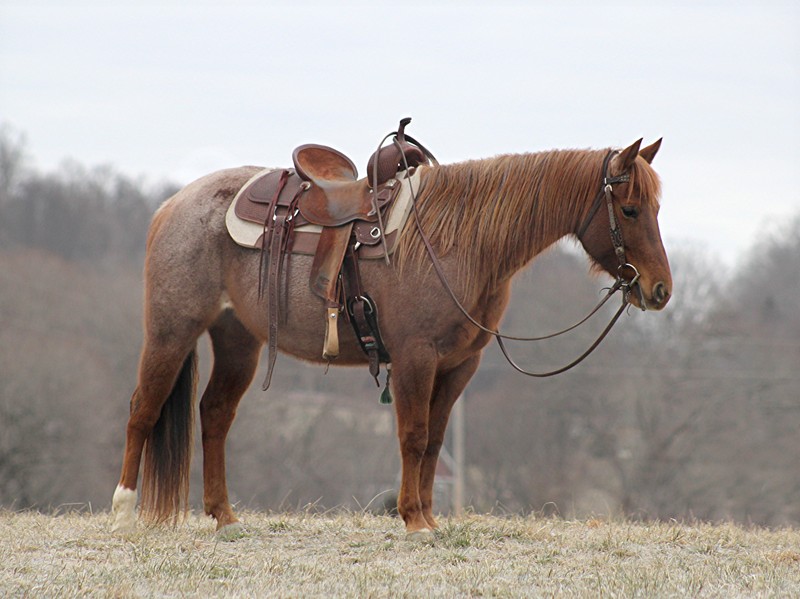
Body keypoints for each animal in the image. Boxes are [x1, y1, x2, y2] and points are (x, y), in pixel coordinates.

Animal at [111, 136, 671, 540]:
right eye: (630, 210)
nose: (659, 290)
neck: (457, 241)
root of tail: (172, 205)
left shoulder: (458, 366)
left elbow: (435, 441)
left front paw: (428, 516)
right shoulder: (415, 359)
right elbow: (413, 435)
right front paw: (414, 521)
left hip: (238, 343)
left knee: (215, 415)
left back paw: (223, 516)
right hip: (171, 331)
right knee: (143, 408)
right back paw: (122, 510)